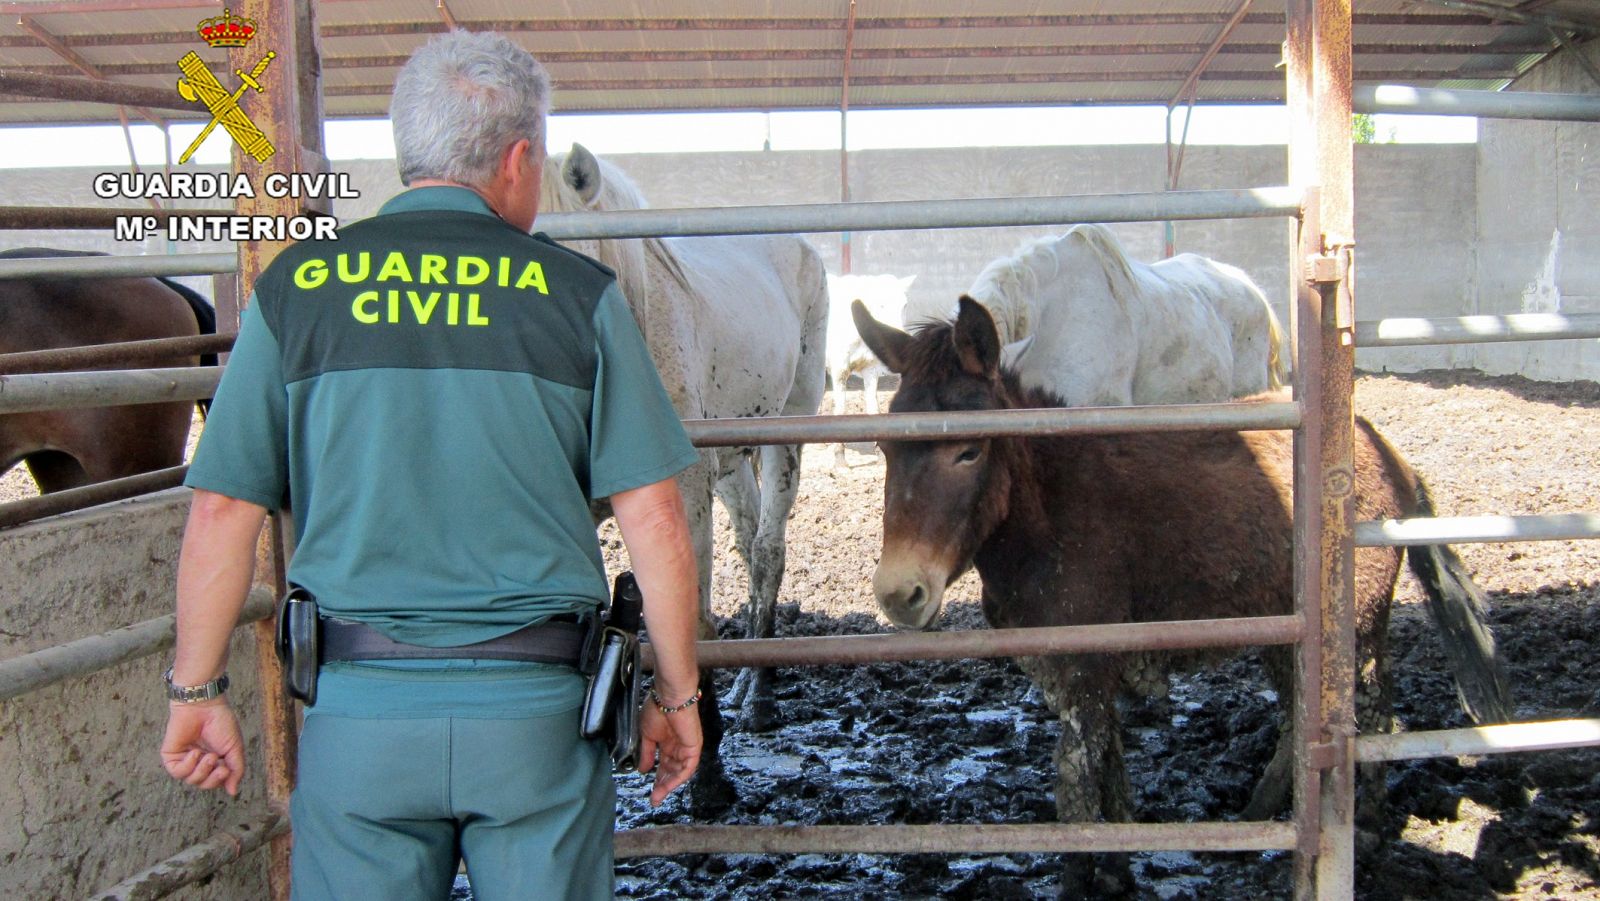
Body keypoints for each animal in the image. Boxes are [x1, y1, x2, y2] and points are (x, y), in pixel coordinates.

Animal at [540, 144, 832, 793]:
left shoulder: (683, 496)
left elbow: (692, 621)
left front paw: (708, 773)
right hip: (730, 464)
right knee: (750, 546)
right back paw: (750, 681)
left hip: (785, 430)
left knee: (768, 552)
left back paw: (759, 700)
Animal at [825, 275, 915, 464]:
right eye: (881, 305)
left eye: (904, 305)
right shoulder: (839, 369)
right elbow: (840, 410)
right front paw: (840, 458)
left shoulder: (870, 370)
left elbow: (874, 409)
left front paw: (880, 455)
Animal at [857, 294, 1504, 896]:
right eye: (884, 449)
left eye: (969, 451)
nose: (899, 594)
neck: (1046, 515)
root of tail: (1382, 447)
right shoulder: (1074, 670)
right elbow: (1110, 766)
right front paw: (1118, 870)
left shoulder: (1084, 665)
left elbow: (1074, 783)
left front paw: (1080, 879)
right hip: (1285, 626)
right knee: (1299, 720)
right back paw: (1255, 823)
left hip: (1359, 620)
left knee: (1372, 711)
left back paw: (1361, 832)